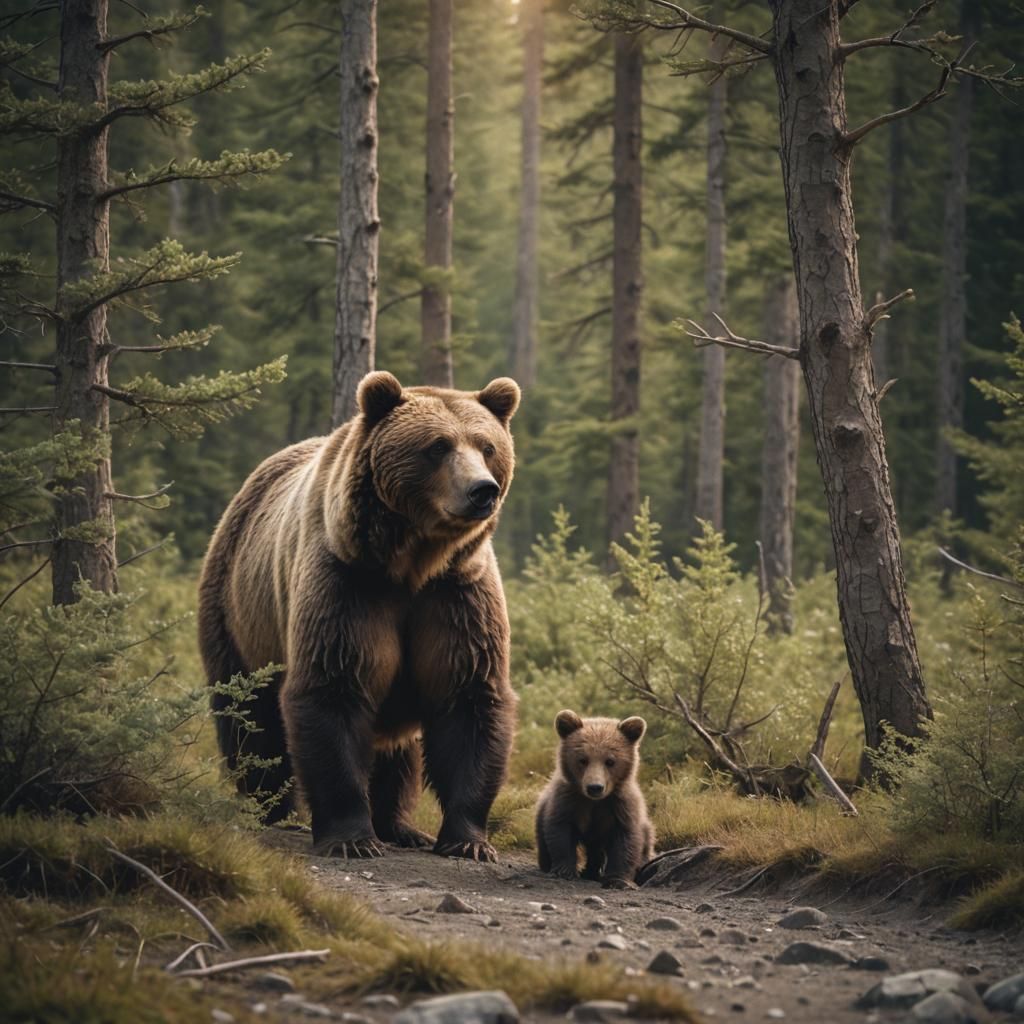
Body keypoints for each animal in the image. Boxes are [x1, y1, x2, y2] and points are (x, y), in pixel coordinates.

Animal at [197, 370, 520, 862]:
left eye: (486, 446)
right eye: (438, 446)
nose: (482, 490)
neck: (412, 563)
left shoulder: (456, 594)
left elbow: (468, 695)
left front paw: (468, 840)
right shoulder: (347, 583)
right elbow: (333, 688)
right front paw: (352, 837)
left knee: (399, 751)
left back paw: (401, 825)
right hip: (237, 612)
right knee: (251, 718)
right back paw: (269, 809)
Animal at [535, 710, 655, 888]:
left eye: (610, 761)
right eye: (582, 759)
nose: (595, 787)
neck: (594, 802)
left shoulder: (620, 806)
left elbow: (625, 840)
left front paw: (617, 879)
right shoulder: (568, 801)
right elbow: (561, 832)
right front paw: (564, 871)